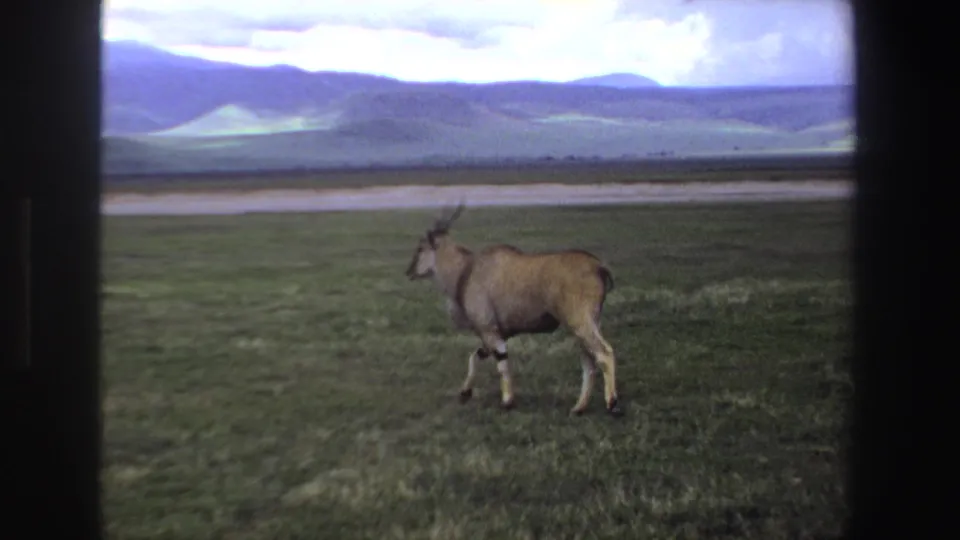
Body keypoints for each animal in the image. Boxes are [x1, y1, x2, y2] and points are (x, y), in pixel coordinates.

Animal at [405, 203, 623, 417]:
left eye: (421, 248)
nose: (409, 272)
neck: (467, 270)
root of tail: (598, 266)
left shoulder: (489, 331)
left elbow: (501, 364)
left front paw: (507, 401)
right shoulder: (496, 335)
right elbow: (475, 356)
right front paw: (465, 392)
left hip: (580, 323)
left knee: (604, 354)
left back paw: (612, 403)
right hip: (586, 325)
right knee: (589, 362)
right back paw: (579, 407)